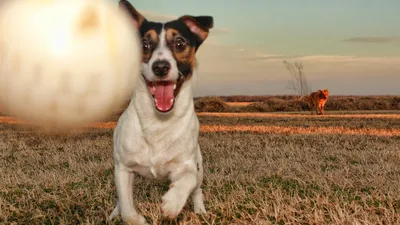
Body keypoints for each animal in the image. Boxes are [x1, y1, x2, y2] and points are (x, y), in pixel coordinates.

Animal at [106, 0, 212, 224]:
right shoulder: (123, 168)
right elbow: (127, 208)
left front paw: (172, 203)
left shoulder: (188, 165)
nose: (160, 67)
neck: (159, 122)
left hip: (200, 165)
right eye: (144, 45)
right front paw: (136, 219)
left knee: (197, 189)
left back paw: (199, 210)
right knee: (121, 199)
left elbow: (187, 180)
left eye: (180, 43)